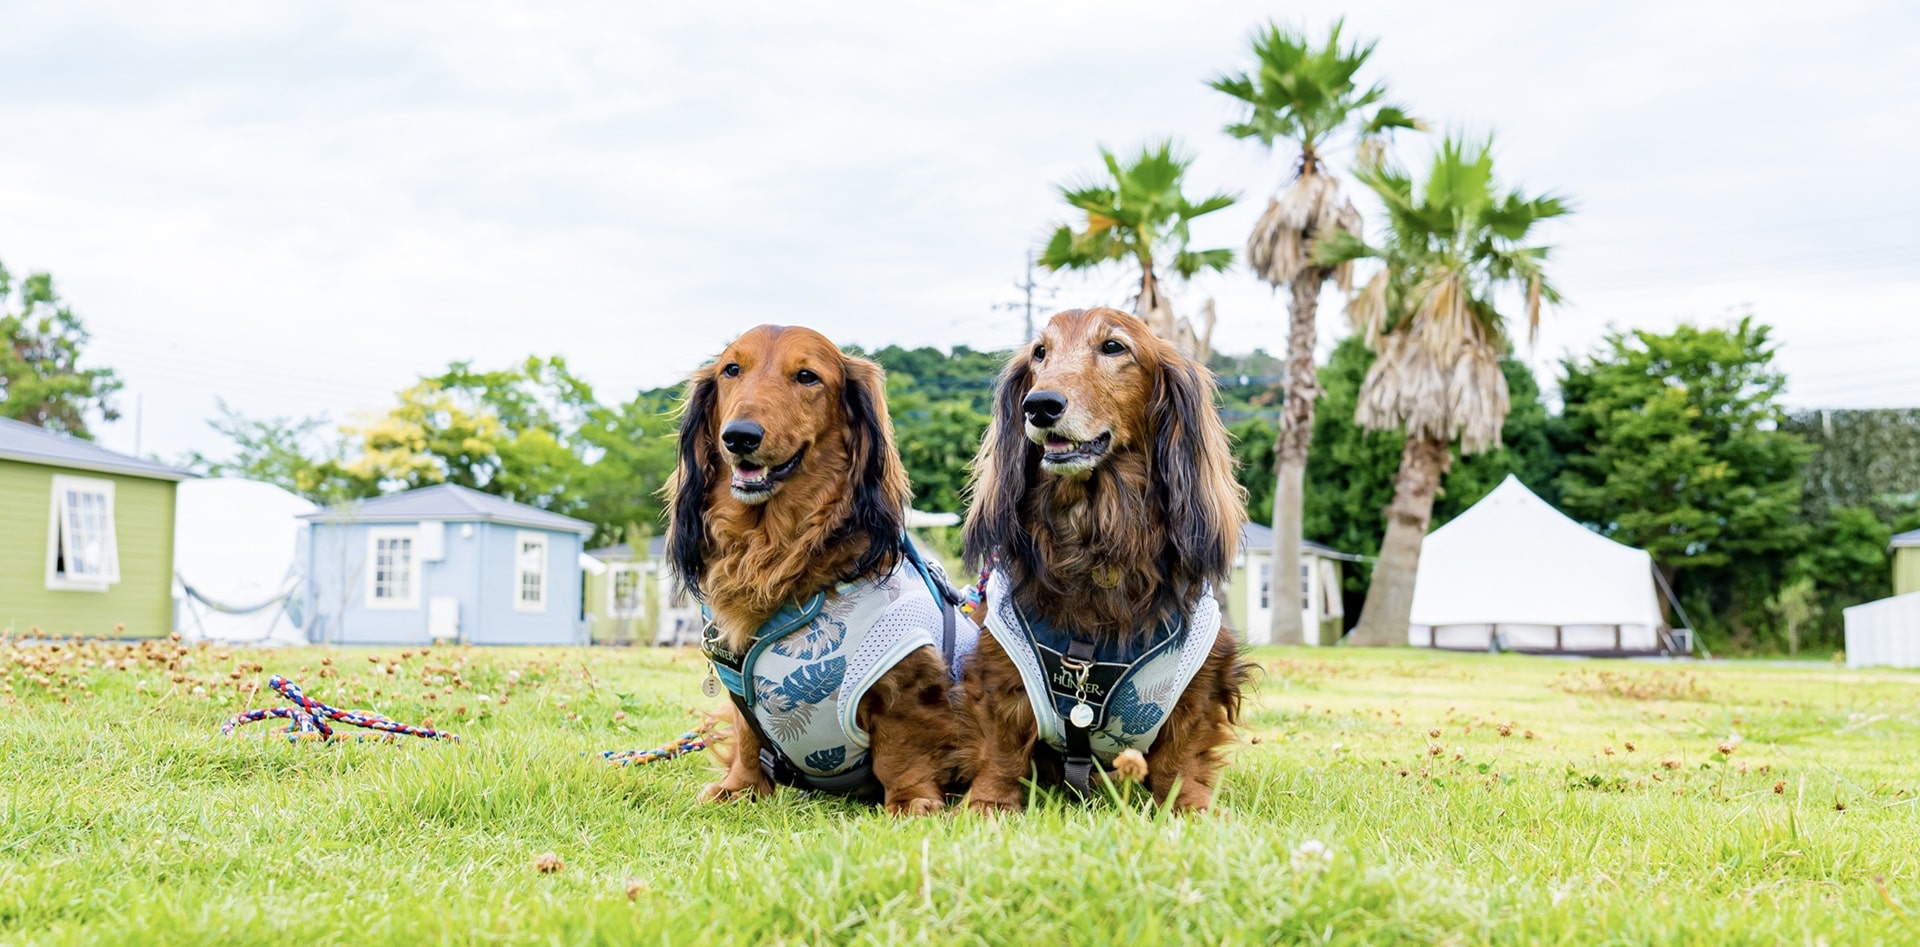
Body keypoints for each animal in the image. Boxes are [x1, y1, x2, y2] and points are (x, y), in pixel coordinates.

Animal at [668, 324, 967, 810]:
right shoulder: (739, 690)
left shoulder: (906, 672)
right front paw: (739, 788)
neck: (775, 551)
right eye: (732, 370)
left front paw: (911, 801)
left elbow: (902, 750)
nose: (740, 436)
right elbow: (747, 738)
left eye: (807, 376)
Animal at [956, 307, 1244, 806]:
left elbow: (1182, 756)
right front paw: (986, 804)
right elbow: (1001, 750)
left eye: (1113, 347)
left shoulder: (1204, 673)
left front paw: (1191, 807)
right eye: (1040, 352)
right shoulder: (998, 665)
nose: (1040, 405)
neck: (1096, 541)